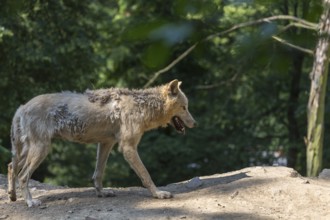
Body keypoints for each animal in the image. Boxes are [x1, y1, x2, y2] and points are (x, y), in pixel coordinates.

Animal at [7, 80, 196, 207]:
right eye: (184, 107)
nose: (195, 123)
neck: (142, 107)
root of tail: (21, 107)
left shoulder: (106, 144)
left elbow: (98, 174)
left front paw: (102, 193)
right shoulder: (128, 148)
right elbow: (146, 175)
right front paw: (158, 194)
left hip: (27, 151)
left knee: (11, 167)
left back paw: (12, 196)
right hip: (41, 150)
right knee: (23, 176)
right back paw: (30, 202)